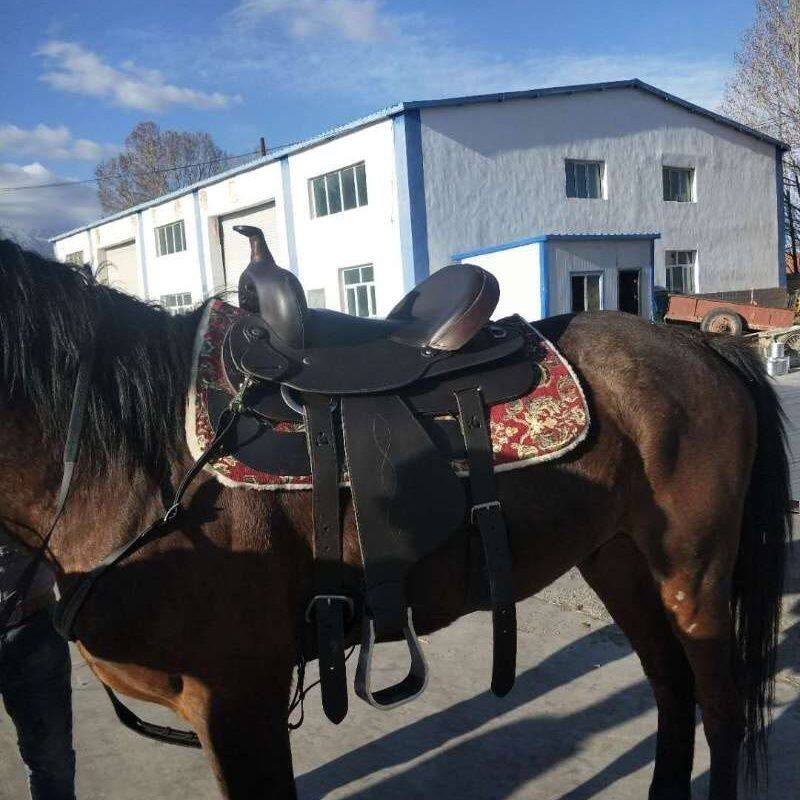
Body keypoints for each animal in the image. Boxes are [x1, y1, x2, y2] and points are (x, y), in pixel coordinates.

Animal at [0, 239, 790, 800]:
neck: (133, 459)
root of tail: (701, 342)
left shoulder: (238, 701)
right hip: (620, 560)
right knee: (672, 691)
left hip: (694, 574)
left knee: (720, 707)